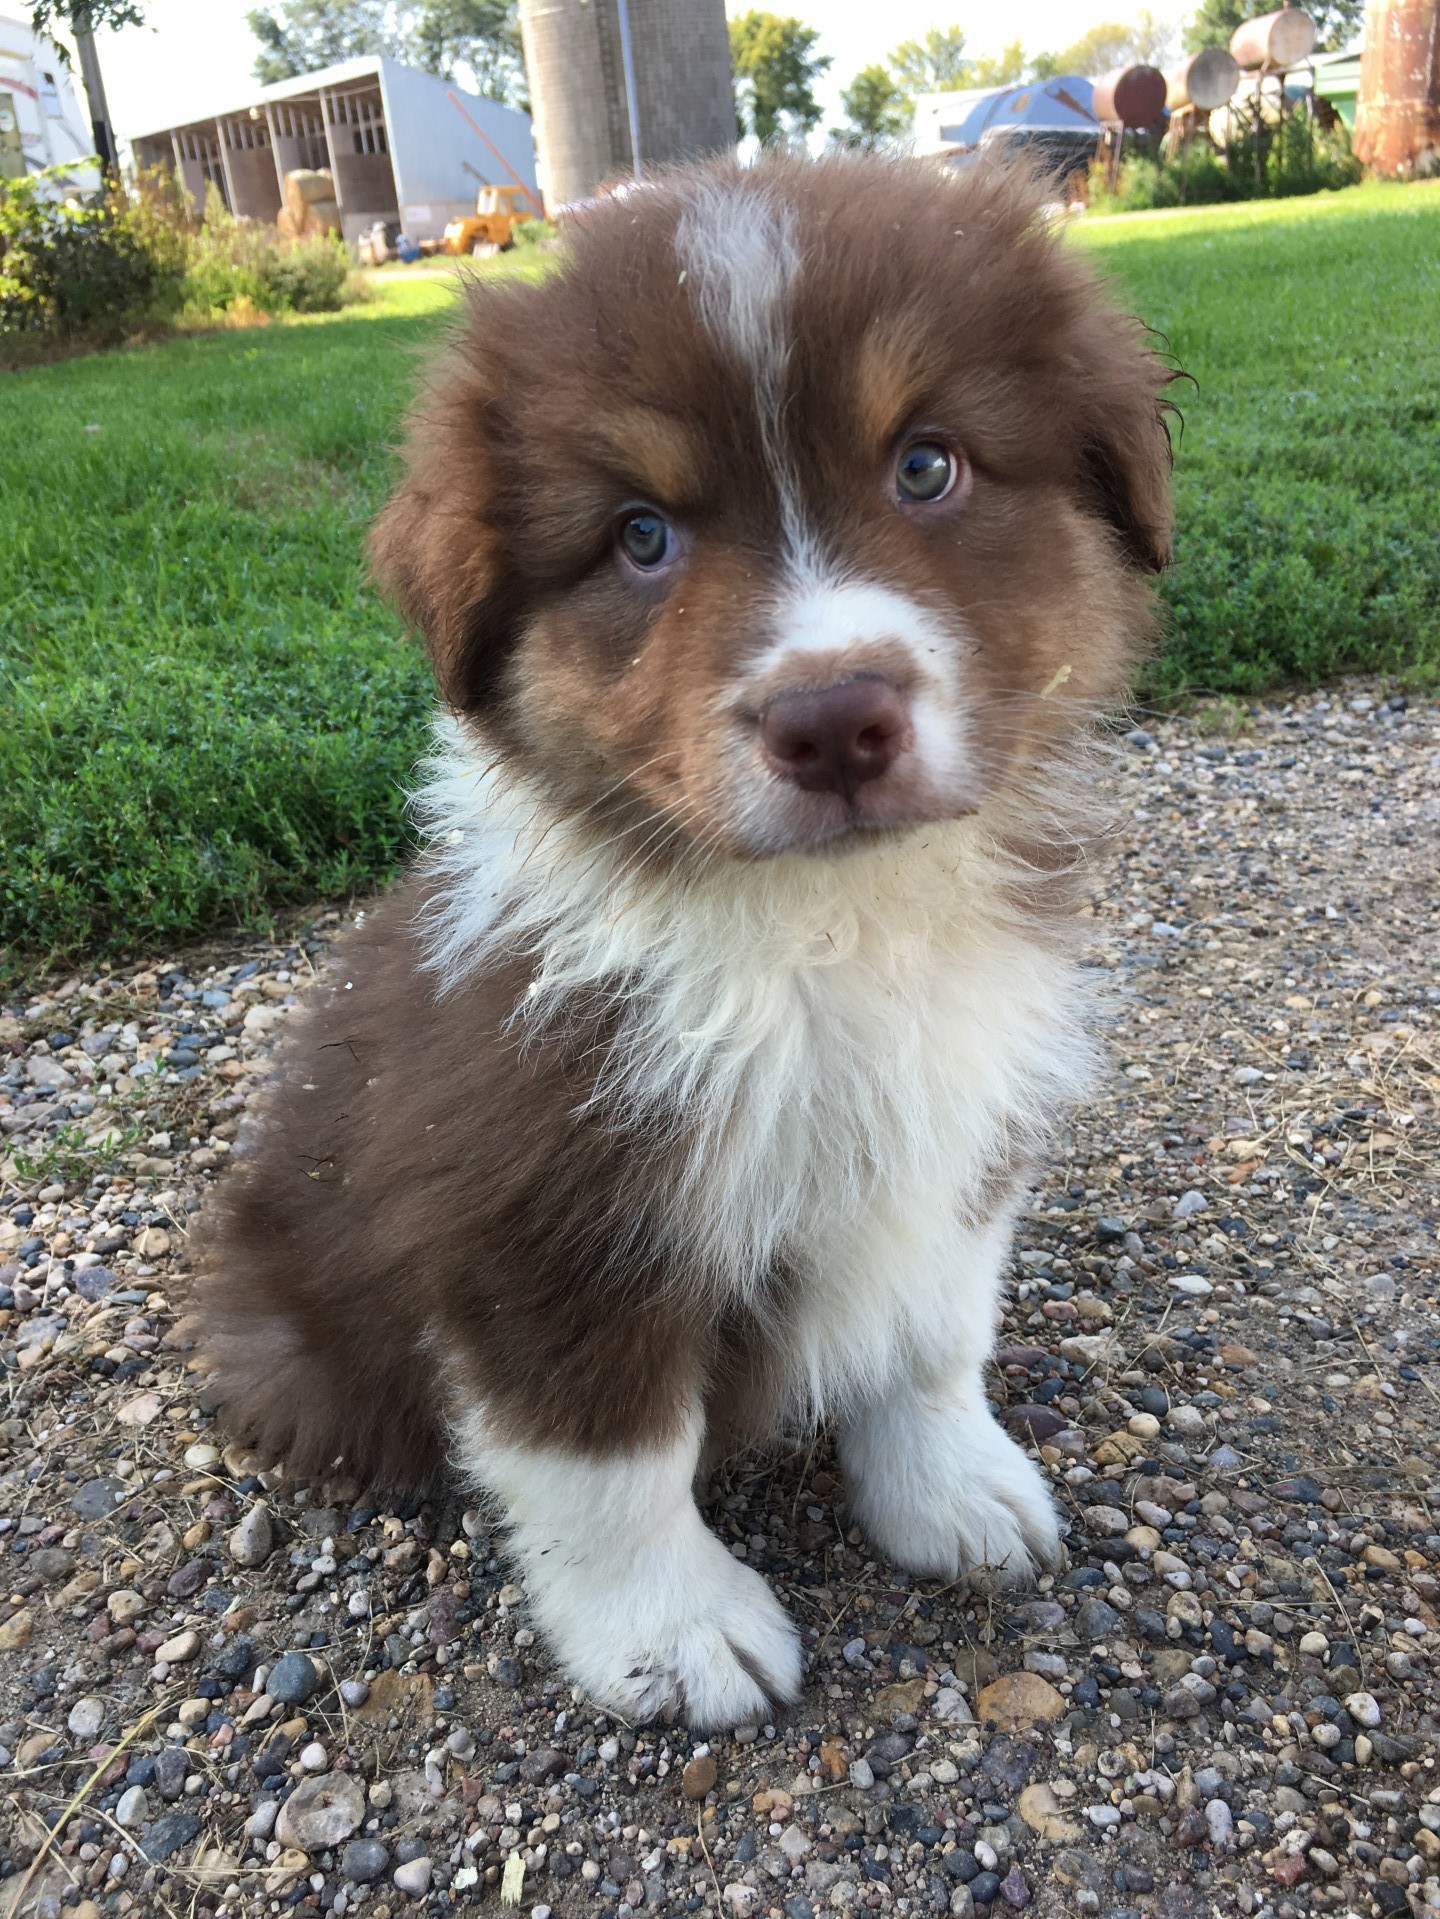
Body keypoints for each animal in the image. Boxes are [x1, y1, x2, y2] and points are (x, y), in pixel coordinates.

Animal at [200, 157, 1175, 1734]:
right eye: (640, 536)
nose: (834, 718)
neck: (819, 929)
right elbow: (609, 1462)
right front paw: (678, 1636)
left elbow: (931, 1333)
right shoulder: (544, 1211)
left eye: (928, 467)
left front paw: (953, 1490)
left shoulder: (960, 1114)